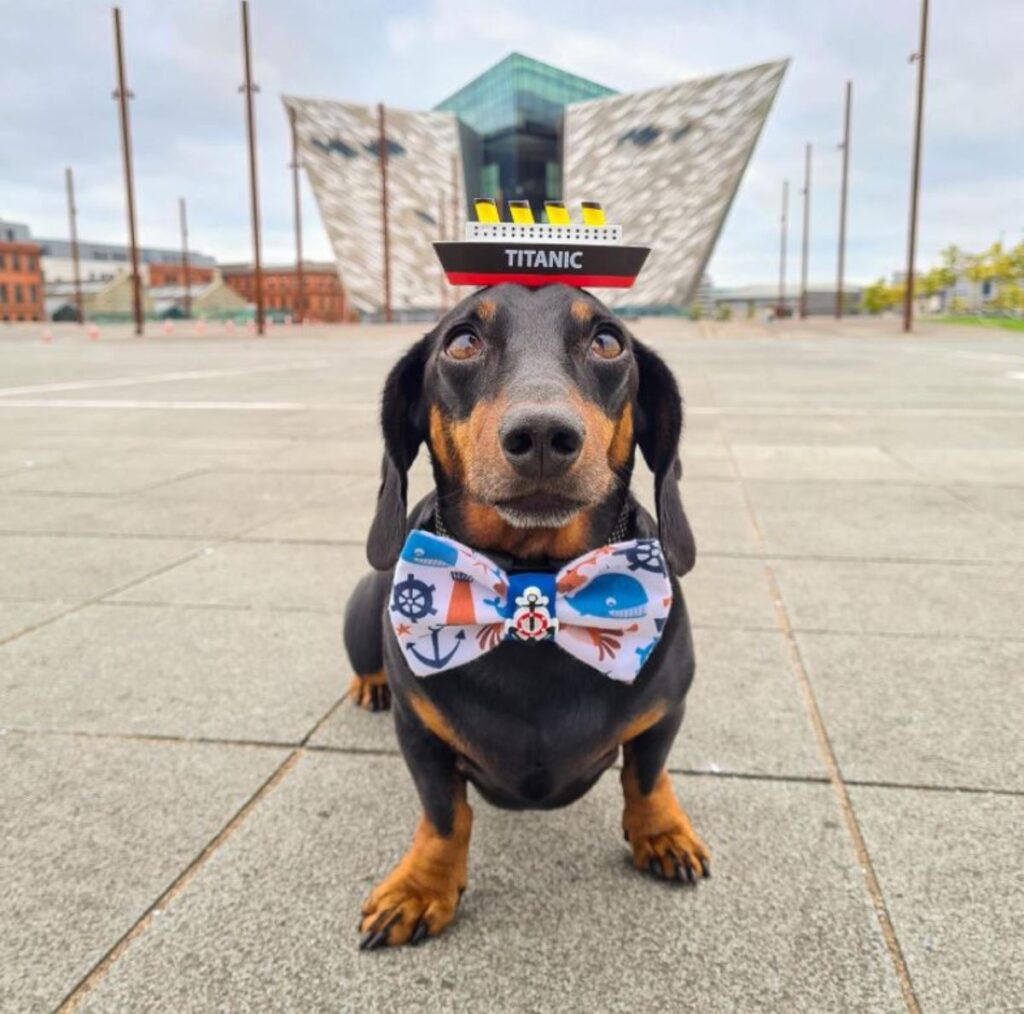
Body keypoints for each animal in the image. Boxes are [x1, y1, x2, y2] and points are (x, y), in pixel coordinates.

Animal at [342, 284, 704, 950]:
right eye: (461, 342)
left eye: (608, 341)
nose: (541, 434)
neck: (532, 578)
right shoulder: (419, 734)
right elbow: (445, 815)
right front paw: (421, 888)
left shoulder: (665, 713)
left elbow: (646, 777)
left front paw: (661, 832)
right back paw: (370, 684)